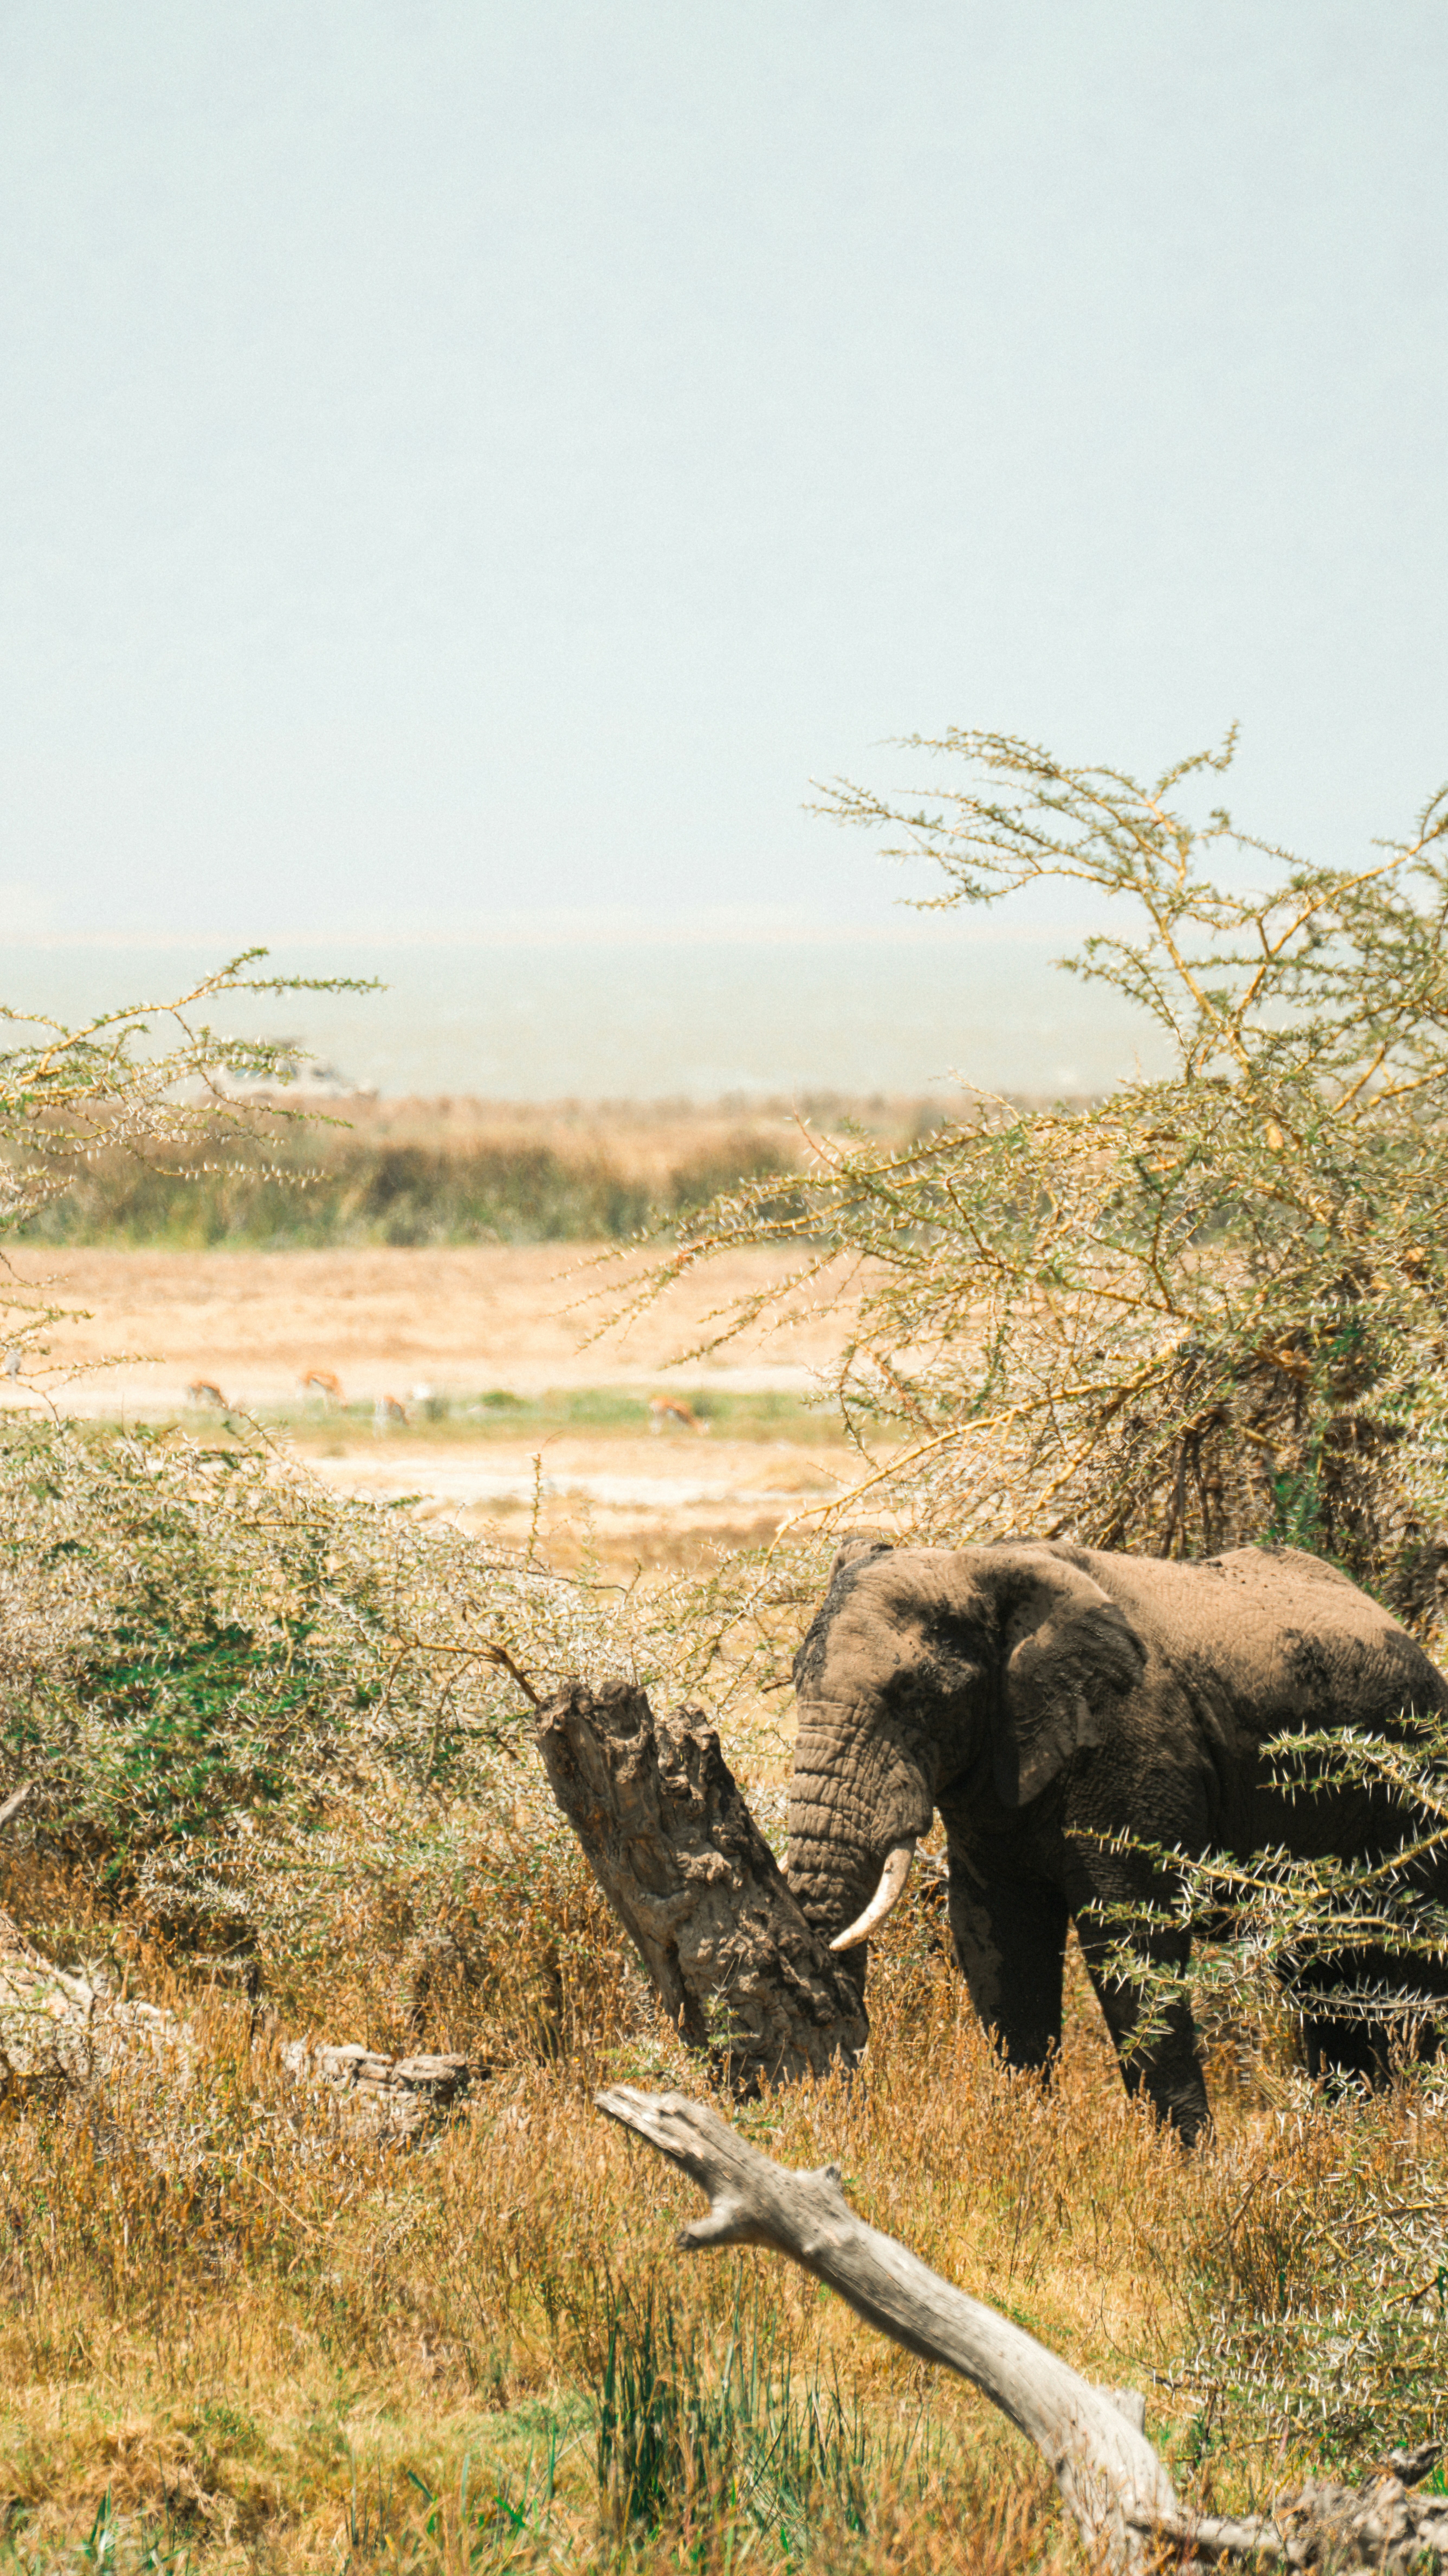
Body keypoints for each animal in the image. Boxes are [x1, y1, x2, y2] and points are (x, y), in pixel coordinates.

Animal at [786, 1536, 1448, 2141]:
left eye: (918, 1697)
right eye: (794, 1682)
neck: (977, 1561)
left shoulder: (1130, 1745)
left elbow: (1131, 1935)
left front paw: (1185, 2163)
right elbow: (995, 1937)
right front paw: (1025, 2139)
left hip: (1412, 1781)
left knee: (1407, 1966)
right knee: (1323, 1973)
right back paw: (1348, 2132)